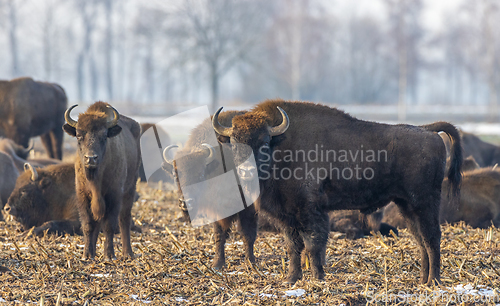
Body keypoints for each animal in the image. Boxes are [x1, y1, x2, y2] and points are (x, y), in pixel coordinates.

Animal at [63, 101, 141, 260]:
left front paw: (109, 255)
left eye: (104, 136)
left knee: (124, 219)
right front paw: (87, 255)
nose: (91, 158)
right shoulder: (83, 196)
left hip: (129, 190)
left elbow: (109, 225)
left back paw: (128, 253)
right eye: (78, 135)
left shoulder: (114, 196)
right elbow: (88, 225)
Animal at [162, 110, 260, 268]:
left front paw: (250, 262)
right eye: (176, 176)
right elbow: (219, 234)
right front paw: (217, 263)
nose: (185, 203)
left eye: (201, 174)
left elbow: (248, 233)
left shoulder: (248, 207)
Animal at [211, 100, 460, 284]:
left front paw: (317, 277)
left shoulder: (310, 211)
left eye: (263, 142)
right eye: (234, 142)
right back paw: (423, 280)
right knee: (421, 239)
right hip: (406, 205)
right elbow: (294, 247)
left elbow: (313, 244)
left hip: (424, 203)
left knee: (432, 238)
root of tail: (428, 131)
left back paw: (434, 281)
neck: (281, 147)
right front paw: (291, 279)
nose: (245, 171)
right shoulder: (288, 217)